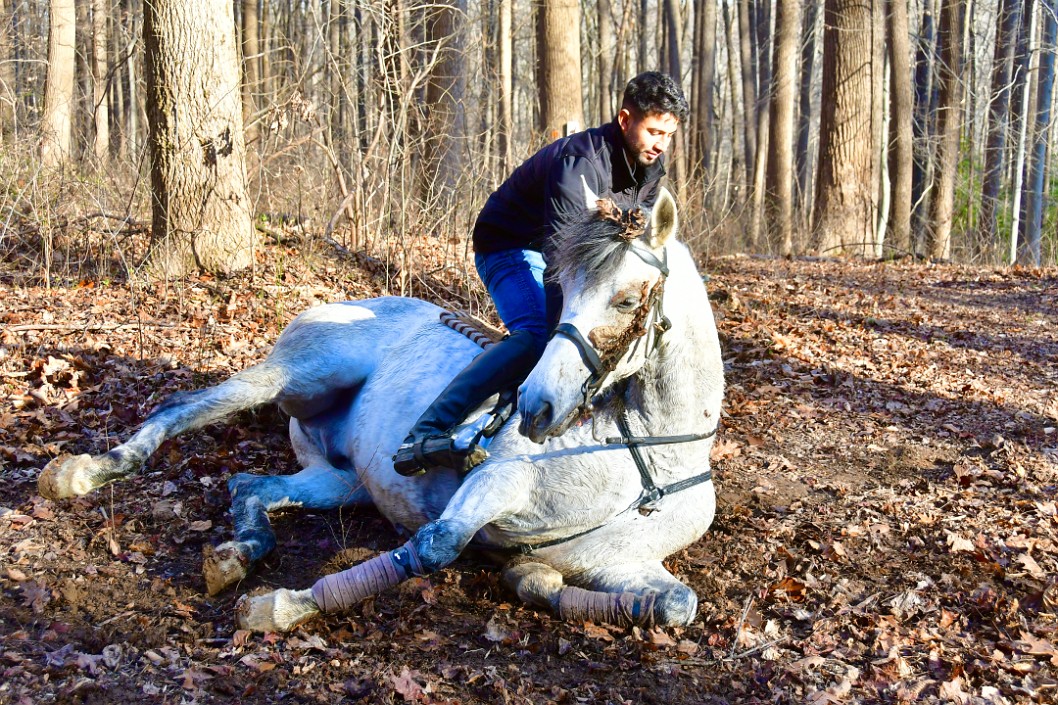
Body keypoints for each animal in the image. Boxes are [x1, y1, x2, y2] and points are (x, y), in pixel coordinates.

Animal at [37, 188, 723, 630]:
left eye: (627, 298)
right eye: (563, 288)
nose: (536, 406)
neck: (647, 450)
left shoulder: (612, 560)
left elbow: (676, 605)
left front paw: (534, 580)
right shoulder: (499, 480)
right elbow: (437, 546)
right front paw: (285, 608)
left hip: (342, 479)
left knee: (251, 485)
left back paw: (241, 551)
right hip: (301, 373)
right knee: (187, 405)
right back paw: (83, 472)